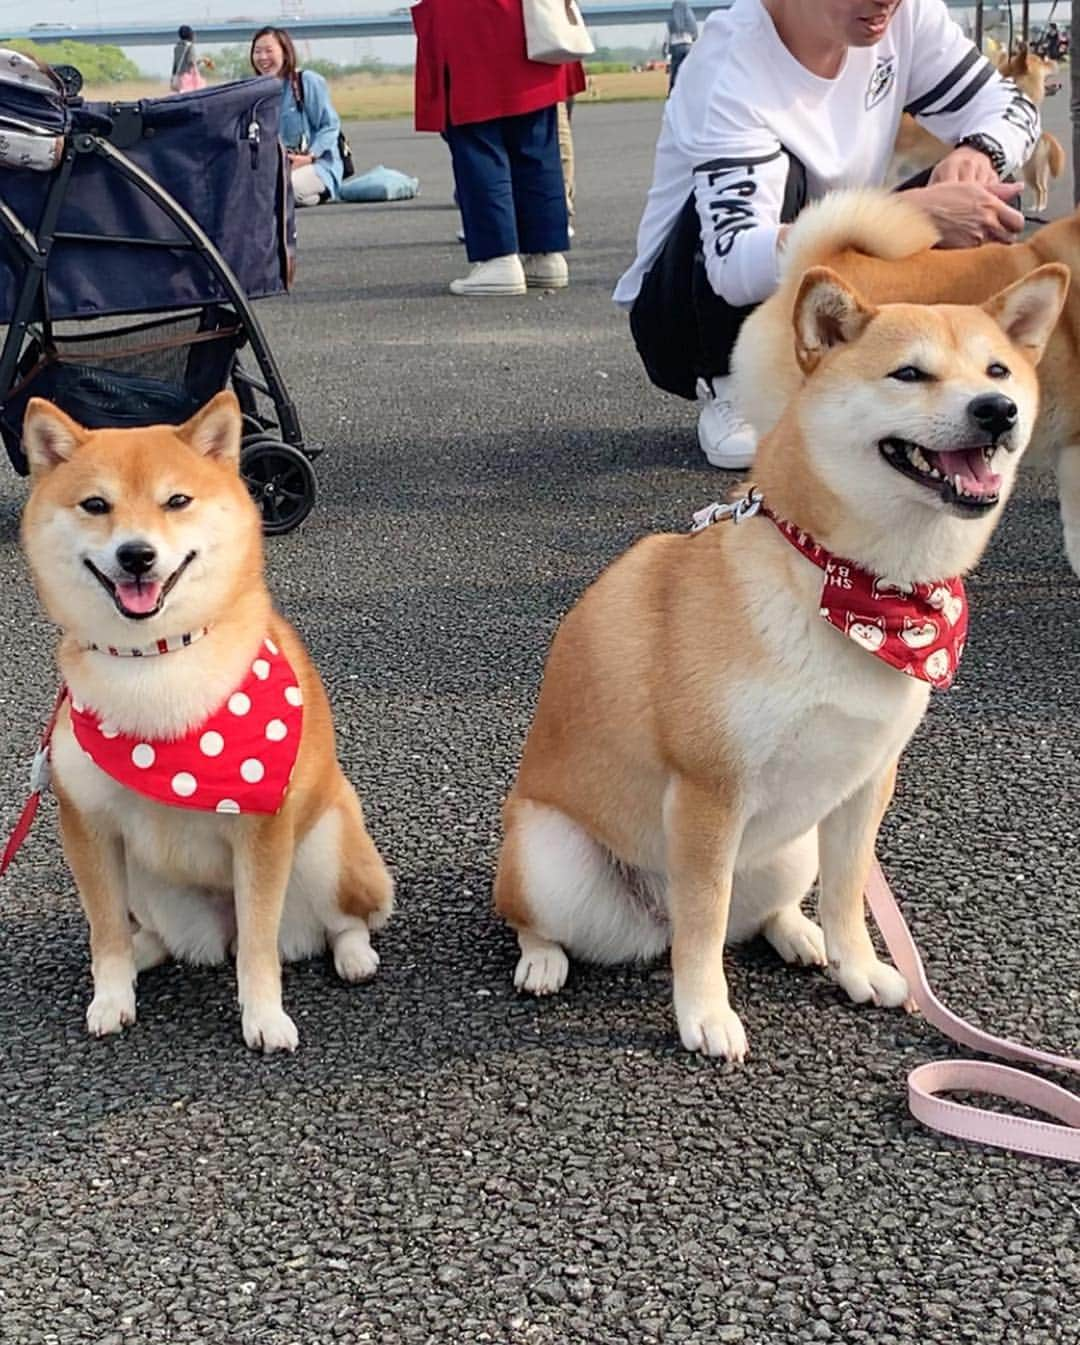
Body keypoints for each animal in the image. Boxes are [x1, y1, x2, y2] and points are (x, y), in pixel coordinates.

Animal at [494, 262, 1070, 1059]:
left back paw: (800, 937)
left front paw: (856, 965)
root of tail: (648, 921)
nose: (997, 410)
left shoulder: (865, 781)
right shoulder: (709, 791)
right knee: (559, 921)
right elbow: (704, 923)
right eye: (909, 373)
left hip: (792, 845)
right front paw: (705, 1013)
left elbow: (846, 893)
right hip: (548, 851)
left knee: (763, 911)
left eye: (997, 370)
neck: (858, 588)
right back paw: (543, 960)